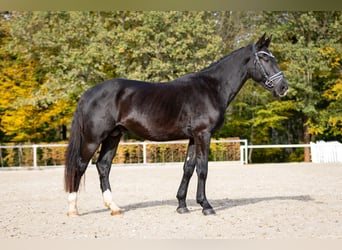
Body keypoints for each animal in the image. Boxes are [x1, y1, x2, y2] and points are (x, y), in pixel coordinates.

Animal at [64, 33, 288, 217]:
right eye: (265, 58)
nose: (283, 87)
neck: (212, 88)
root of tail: (88, 93)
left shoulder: (193, 137)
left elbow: (188, 168)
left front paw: (182, 205)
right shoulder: (203, 134)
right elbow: (203, 168)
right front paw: (206, 206)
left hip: (113, 136)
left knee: (103, 166)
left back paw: (114, 207)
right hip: (93, 139)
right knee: (80, 165)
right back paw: (73, 209)